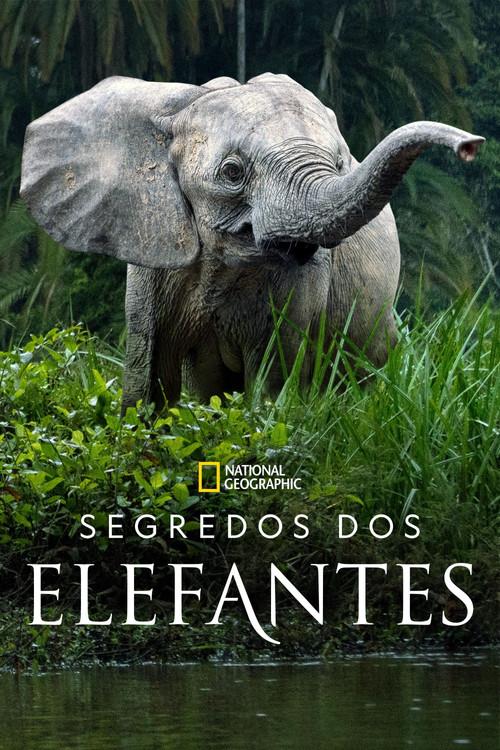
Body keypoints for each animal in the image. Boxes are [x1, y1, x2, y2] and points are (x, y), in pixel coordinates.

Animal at [20, 73, 484, 409]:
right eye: (232, 172)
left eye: (340, 164)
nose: (471, 146)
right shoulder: (152, 253)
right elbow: (149, 378)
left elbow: (273, 377)